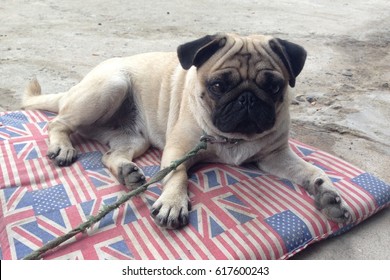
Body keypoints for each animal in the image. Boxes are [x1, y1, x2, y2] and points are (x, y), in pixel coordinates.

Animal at [22, 33, 354, 230]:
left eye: (274, 86)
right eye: (218, 85)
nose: (247, 99)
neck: (232, 137)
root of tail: (72, 91)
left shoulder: (275, 155)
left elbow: (310, 170)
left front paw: (327, 194)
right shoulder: (178, 150)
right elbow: (178, 174)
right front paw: (173, 202)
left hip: (135, 137)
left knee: (110, 155)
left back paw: (128, 174)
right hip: (110, 86)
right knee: (58, 123)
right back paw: (62, 147)